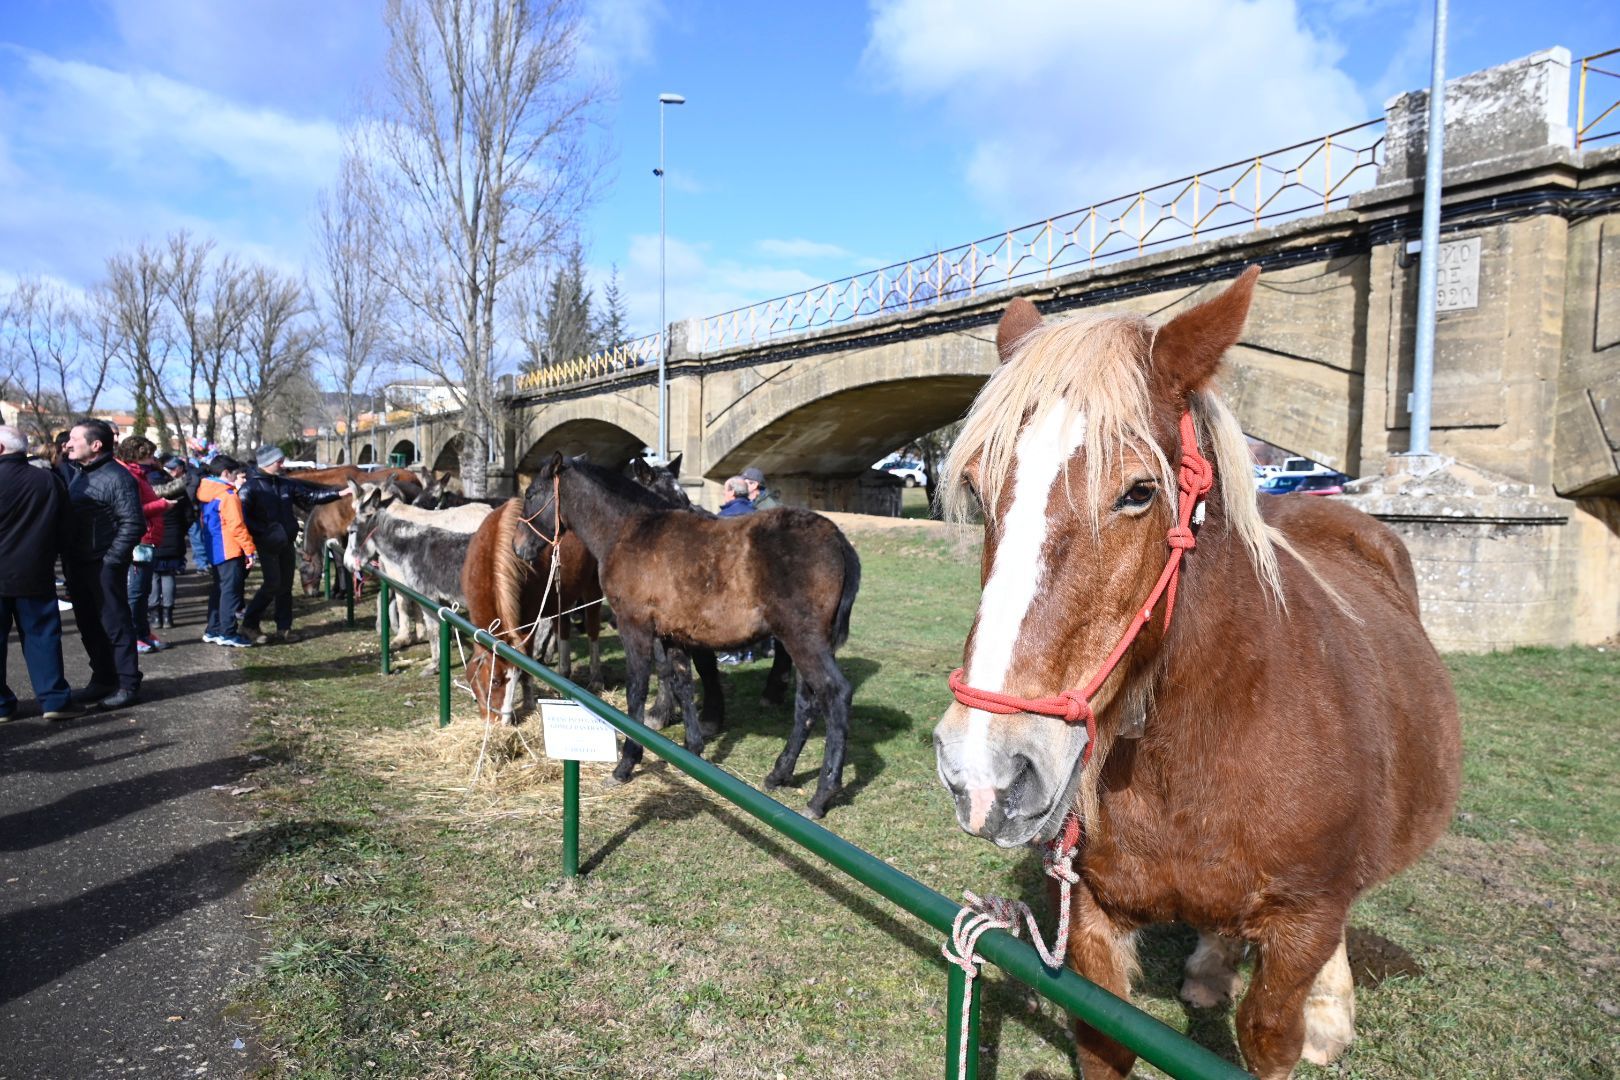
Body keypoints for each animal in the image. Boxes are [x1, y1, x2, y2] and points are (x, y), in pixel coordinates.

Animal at [460, 501, 605, 725]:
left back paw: (596, 677)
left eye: (497, 681)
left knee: (593, 627)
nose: (499, 722)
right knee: (563, 627)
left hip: (592, 586)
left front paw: (528, 702)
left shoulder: (528, 623)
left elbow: (526, 660)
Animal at [524, 456, 868, 819]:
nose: (522, 548)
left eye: (531, 494)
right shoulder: (673, 636)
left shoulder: (635, 629)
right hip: (806, 643)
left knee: (836, 695)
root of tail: (838, 539)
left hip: (803, 641)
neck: (629, 532)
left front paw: (627, 764)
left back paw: (821, 796)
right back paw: (779, 773)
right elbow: (682, 683)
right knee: (806, 703)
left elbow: (637, 690)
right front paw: (693, 747)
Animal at [933, 265, 1464, 1075]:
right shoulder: (1094, 921)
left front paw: (1319, 1014)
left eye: (1139, 491)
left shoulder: (1303, 925)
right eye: (976, 487)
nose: (983, 771)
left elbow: (1274, 1030)